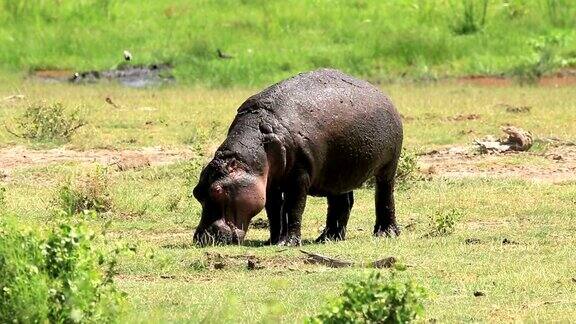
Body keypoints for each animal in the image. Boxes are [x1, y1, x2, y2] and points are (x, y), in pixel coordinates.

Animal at [191, 68, 402, 246]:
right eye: (196, 192)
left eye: (217, 191)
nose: (201, 238)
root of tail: (382, 93)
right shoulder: (270, 182)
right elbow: (274, 211)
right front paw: (272, 241)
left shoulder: (299, 176)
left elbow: (293, 208)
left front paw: (287, 243)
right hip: (339, 172)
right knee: (341, 203)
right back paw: (328, 238)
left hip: (388, 166)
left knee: (385, 195)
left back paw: (386, 233)